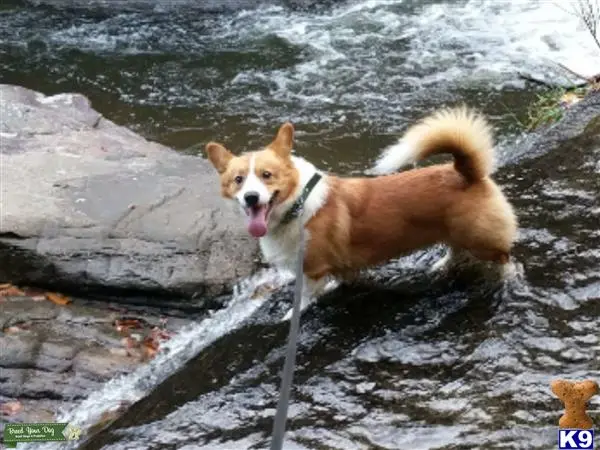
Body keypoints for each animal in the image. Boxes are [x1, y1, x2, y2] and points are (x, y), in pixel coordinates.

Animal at [206, 107, 516, 320]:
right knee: (456, 249)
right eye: (238, 180)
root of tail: (467, 173)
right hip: (455, 231)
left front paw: (291, 316)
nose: (251, 197)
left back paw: (508, 279)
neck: (298, 203)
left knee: (503, 257)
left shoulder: (312, 269)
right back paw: (440, 265)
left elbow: (303, 297)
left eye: (266, 175)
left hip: (480, 239)